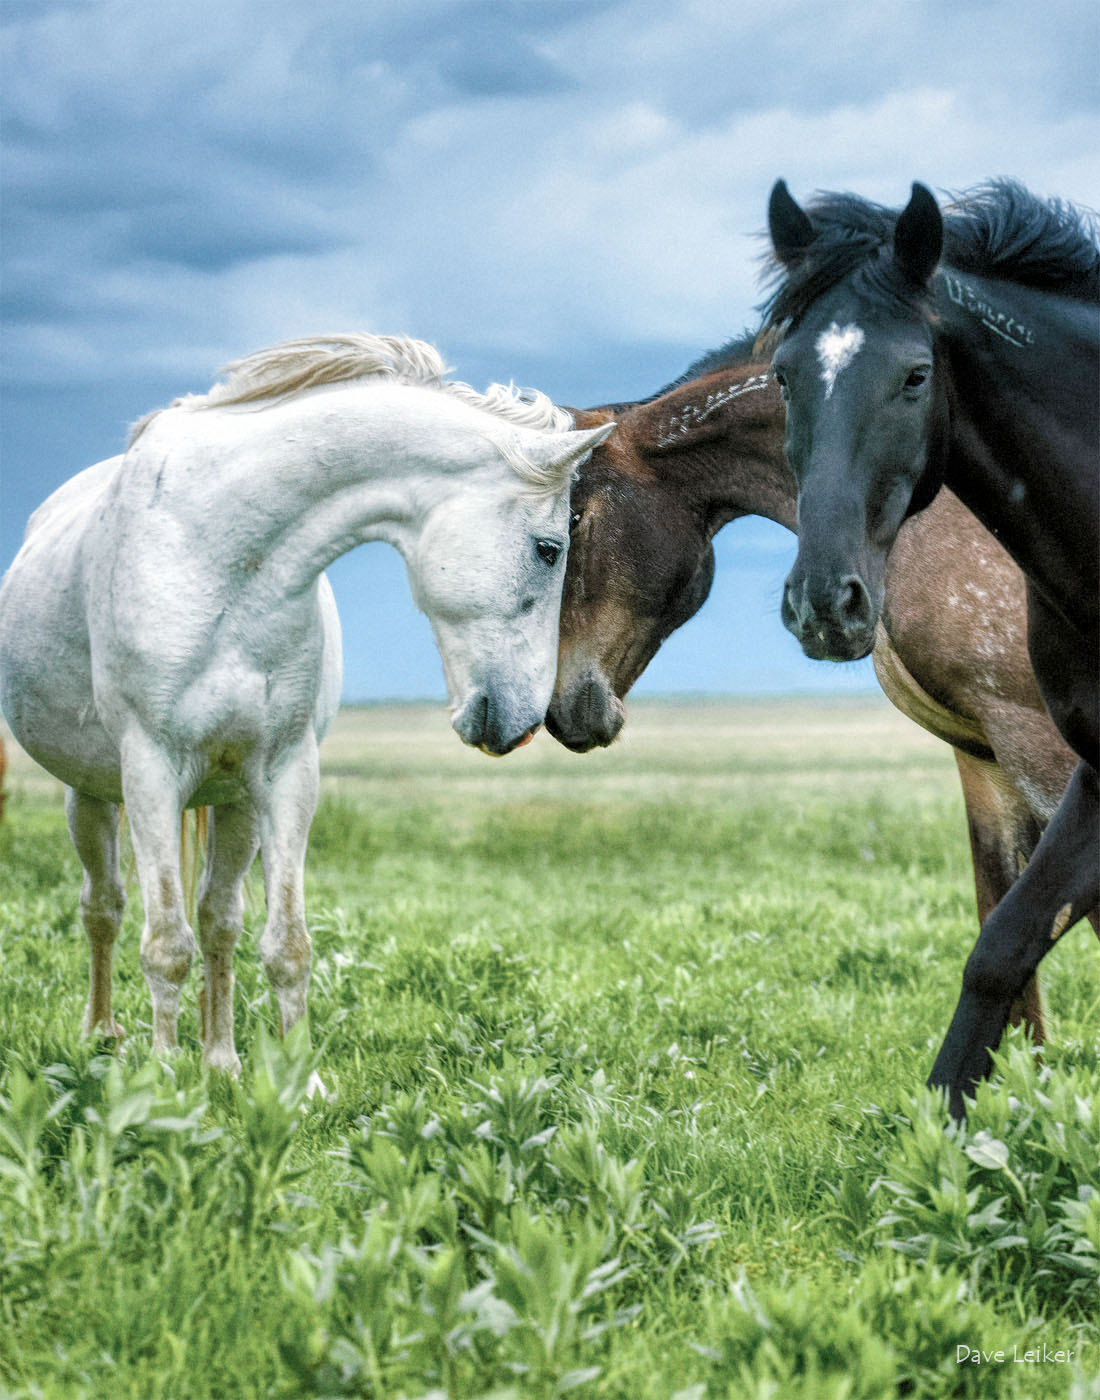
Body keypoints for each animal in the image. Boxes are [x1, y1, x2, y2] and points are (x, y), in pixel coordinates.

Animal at [0, 336, 607, 1069]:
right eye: (549, 550)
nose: (522, 722)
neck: (222, 553)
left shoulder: (285, 774)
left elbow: (284, 944)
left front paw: (291, 1078)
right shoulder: (150, 771)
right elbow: (165, 945)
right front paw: (164, 1076)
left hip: (231, 803)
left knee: (218, 919)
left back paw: (221, 1059)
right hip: (92, 796)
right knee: (105, 908)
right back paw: (103, 1036)